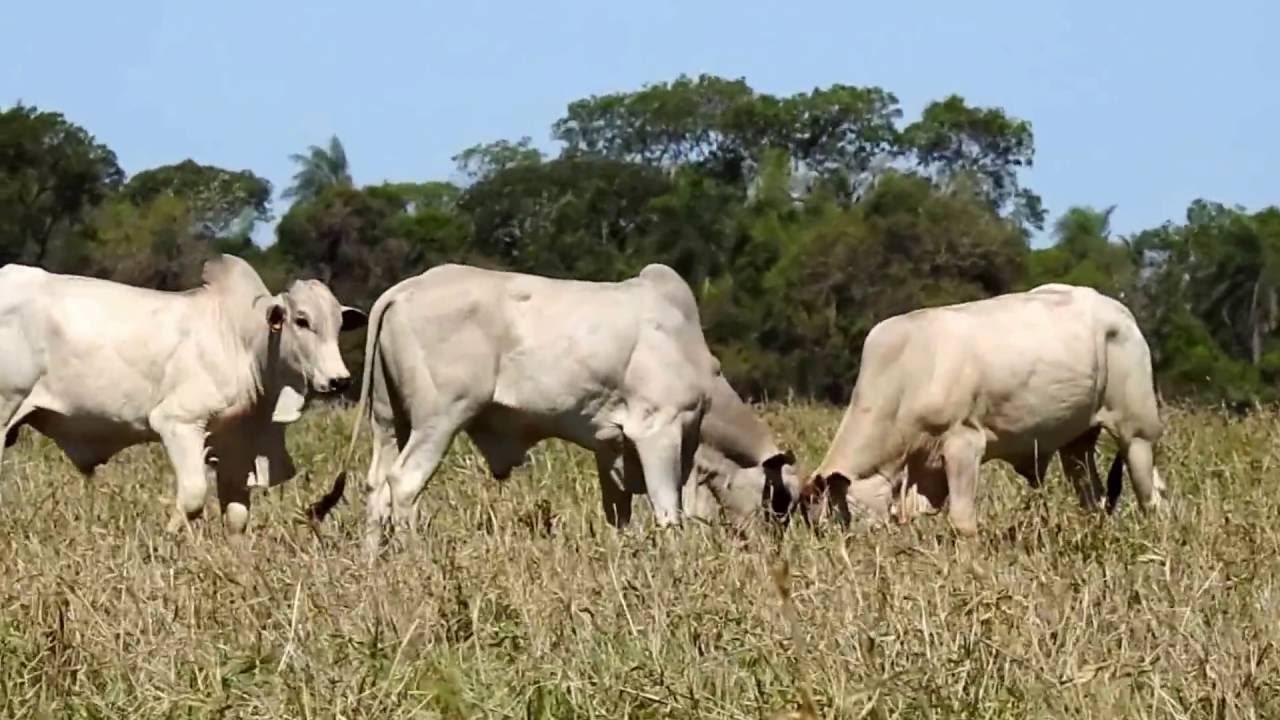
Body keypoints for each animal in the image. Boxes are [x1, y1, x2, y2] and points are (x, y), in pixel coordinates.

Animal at [1, 252, 371, 532]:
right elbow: (193, 497)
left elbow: (237, 514)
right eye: (302, 320)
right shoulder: (179, 423)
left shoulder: (235, 444)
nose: (339, 380)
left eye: (339, 325)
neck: (244, 343)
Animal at [312, 260, 721, 550]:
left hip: (388, 420)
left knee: (376, 485)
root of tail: (404, 289)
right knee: (403, 483)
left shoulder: (612, 447)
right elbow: (668, 510)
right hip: (439, 420)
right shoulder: (659, 430)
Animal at [798, 280, 1172, 532]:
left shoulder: (963, 444)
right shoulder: (924, 469)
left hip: (1136, 433)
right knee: (1093, 495)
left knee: (1151, 497)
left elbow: (963, 519)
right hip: (1076, 443)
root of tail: (1118, 311)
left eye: (838, 520)